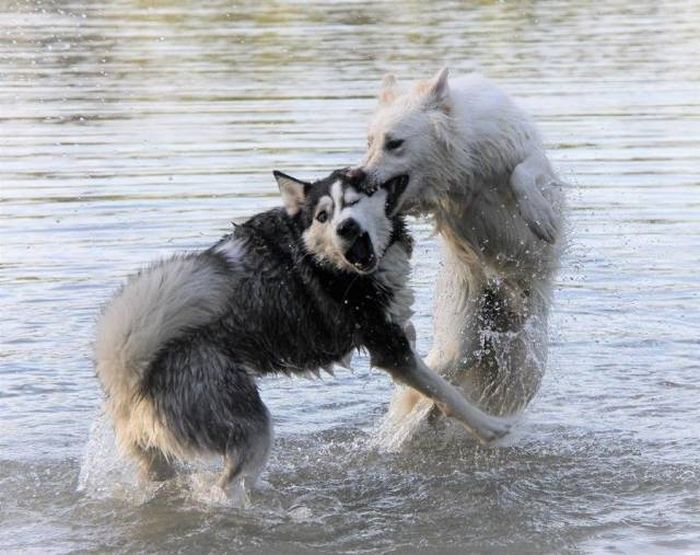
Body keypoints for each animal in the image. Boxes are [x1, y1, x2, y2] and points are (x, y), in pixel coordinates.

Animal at [94, 168, 508, 490]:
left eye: (354, 202)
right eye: (323, 215)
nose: (346, 228)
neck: (320, 256)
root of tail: (128, 376)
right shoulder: (388, 346)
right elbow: (447, 392)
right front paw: (491, 428)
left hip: (158, 454)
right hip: (251, 427)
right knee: (223, 488)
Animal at [356, 67, 564, 446]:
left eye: (395, 143)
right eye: (369, 143)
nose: (356, 174)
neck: (463, 168)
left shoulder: (524, 151)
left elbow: (522, 173)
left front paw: (540, 217)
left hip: (527, 361)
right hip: (462, 330)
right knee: (437, 381)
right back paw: (411, 428)